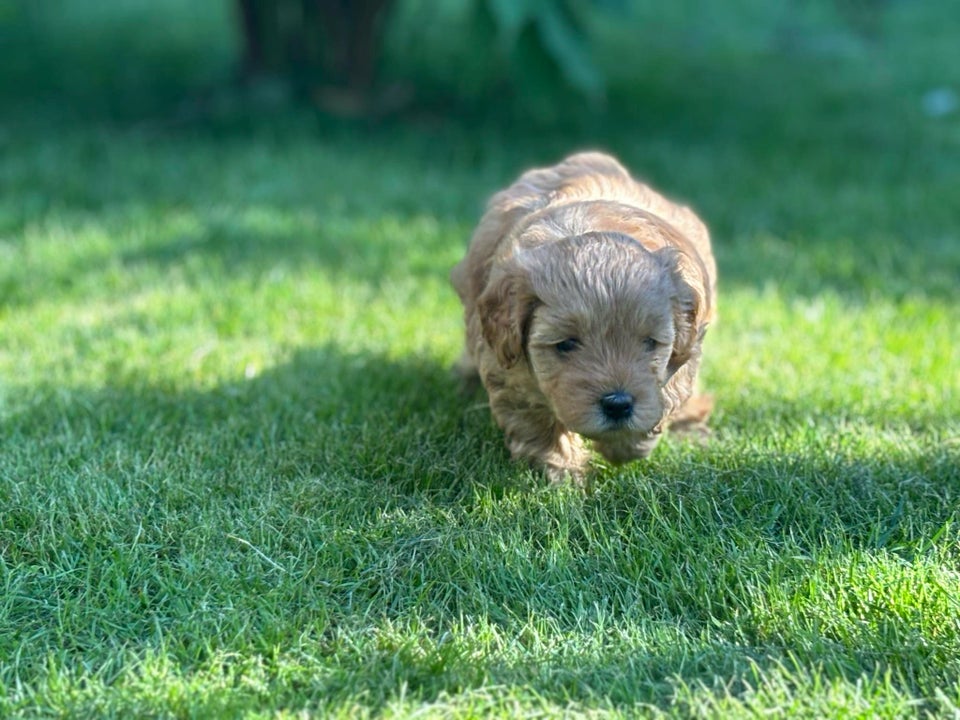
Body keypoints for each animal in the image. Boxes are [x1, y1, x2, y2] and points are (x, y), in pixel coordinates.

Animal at [454, 152, 716, 480]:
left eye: (649, 344)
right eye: (566, 344)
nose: (618, 405)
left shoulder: (685, 351)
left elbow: (665, 393)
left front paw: (624, 445)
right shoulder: (506, 365)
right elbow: (537, 422)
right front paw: (560, 472)